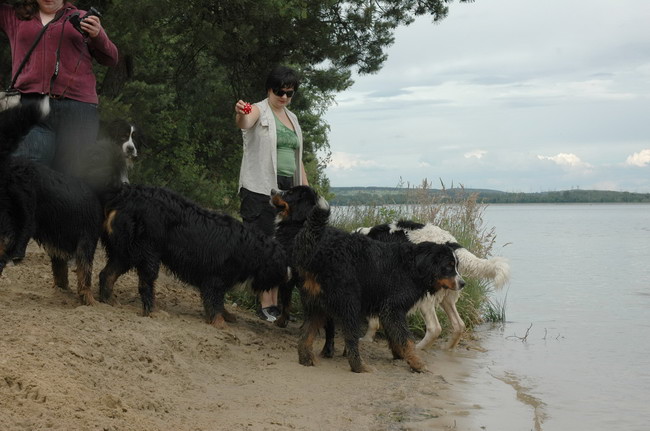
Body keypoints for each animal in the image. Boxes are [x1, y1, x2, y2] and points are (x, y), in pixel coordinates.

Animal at [0, 98, 103, 305]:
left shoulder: (58, 245)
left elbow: (60, 270)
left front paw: (61, 290)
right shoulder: (87, 239)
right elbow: (85, 273)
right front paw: (90, 301)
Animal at [98, 183, 290, 328]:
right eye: (282, 265)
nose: (289, 275)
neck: (248, 247)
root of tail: (126, 195)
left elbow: (219, 302)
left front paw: (226, 315)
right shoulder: (215, 278)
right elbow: (214, 301)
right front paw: (220, 322)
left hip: (125, 252)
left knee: (107, 274)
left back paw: (109, 300)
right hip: (148, 252)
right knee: (145, 283)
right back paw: (153, 311)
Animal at [272, 186, 464, 373]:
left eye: (456, 265)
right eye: (448, 266)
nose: (463, 283)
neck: (412, 267)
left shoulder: (387, 309)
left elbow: (395, 337)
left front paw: (399, 355)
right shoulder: (392, 308)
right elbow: (405, 339)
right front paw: (416, 363)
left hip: (317, 305)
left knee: (306, 335)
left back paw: (306, 359)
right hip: (349, 303)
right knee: (350, 340)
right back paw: (360, 366)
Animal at [356, 220, 510, 349]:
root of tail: (449, 241)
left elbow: (373, 321)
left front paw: (366, 339)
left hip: (426, 297)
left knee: (435, 329)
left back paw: (418, 348)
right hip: (448, 293)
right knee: (459, 325)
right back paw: (447, 349)